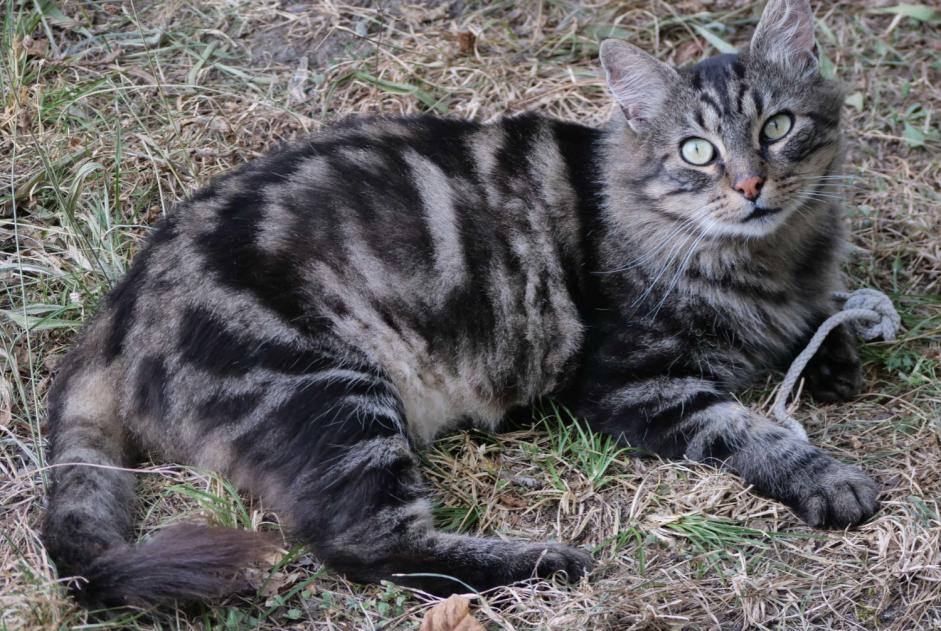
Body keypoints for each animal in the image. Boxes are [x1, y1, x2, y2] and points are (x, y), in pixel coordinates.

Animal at [46, 0, 880, 608]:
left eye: (776, 126)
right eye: (696, 151)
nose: (749, 184)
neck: (766, 257)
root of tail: (120, 307)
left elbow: (821, 315)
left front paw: (829, 350)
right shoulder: (637, 382)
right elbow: (745, 431)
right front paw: (824, 476)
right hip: (332, 391)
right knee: (369, 549)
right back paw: (544, 562)